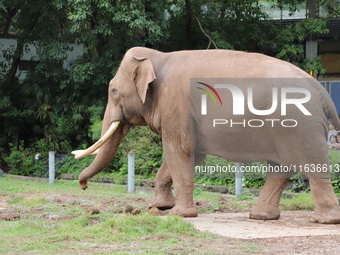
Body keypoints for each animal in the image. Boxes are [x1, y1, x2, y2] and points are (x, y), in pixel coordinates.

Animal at [73, 47, 340, 223]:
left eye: (113, 91)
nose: (83, 186)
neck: (159, 56)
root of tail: (321, 90)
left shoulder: (175, 104)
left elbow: (178, 149)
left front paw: (179, 214)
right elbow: (191, 154)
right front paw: (159, 207)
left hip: (299, 126)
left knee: (310, 164)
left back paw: (324, 220)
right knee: (280, 168)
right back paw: (261, 216)